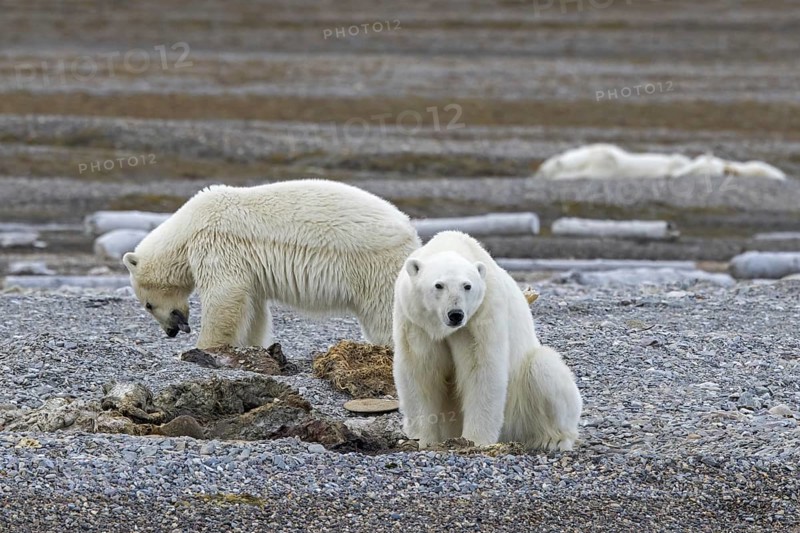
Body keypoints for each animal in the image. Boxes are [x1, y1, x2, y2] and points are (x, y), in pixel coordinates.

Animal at [123, 179, 421, 349]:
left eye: (148, 305)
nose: (171, 331)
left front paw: (202, 347)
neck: (189, 226)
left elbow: (224, 294)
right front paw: (252, 345)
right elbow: (252, 307)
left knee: (384, 315)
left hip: (377, 267)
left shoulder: (217, 243)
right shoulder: (248, 265)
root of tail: (411, 233)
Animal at [392, 231, 582, 451]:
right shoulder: (415, 322)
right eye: (438, 285)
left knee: (544, 368)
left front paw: (474, 441)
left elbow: (482, 369)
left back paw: (554, 439)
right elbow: (420, 371)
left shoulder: (482, 314)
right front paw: (422, 439)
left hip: (519, 401)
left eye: (467, 286)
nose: (455, 314)